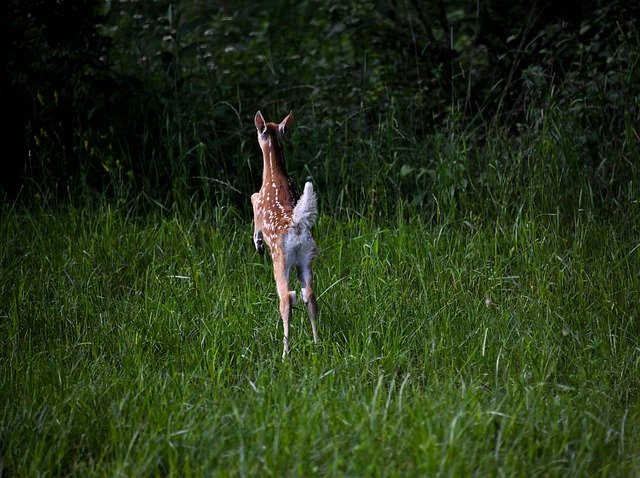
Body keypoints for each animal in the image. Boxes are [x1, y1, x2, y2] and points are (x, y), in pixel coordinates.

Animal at [250, 111, 320, 358]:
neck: (275, 173)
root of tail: (296, 226)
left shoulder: (259, 202)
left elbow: (253, 199)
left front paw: (258, 243)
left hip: (281, 260)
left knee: (287, 298)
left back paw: (285, 352)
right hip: (306, 257)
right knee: (309, 294)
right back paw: (317, 342)